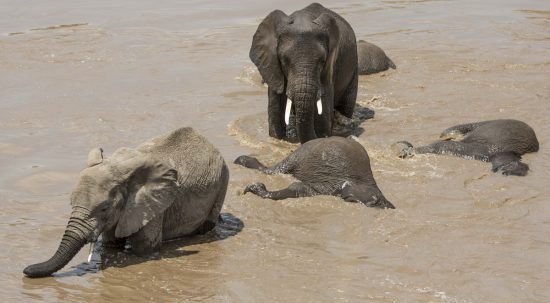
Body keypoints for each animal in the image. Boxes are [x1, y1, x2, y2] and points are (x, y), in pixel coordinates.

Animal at [23, 127, 230, 280]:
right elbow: (111, 243)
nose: (25, 270)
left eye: (104, 208)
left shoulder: (153, 207)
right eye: (71, 203)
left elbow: (144, 246)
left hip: (223, 180)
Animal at [251, 2, 362, 144]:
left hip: (354, 67)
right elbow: (276, 103)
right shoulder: (272, 65)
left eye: (322, 61)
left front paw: (322, 136)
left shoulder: (329, 67)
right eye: (284, 60)